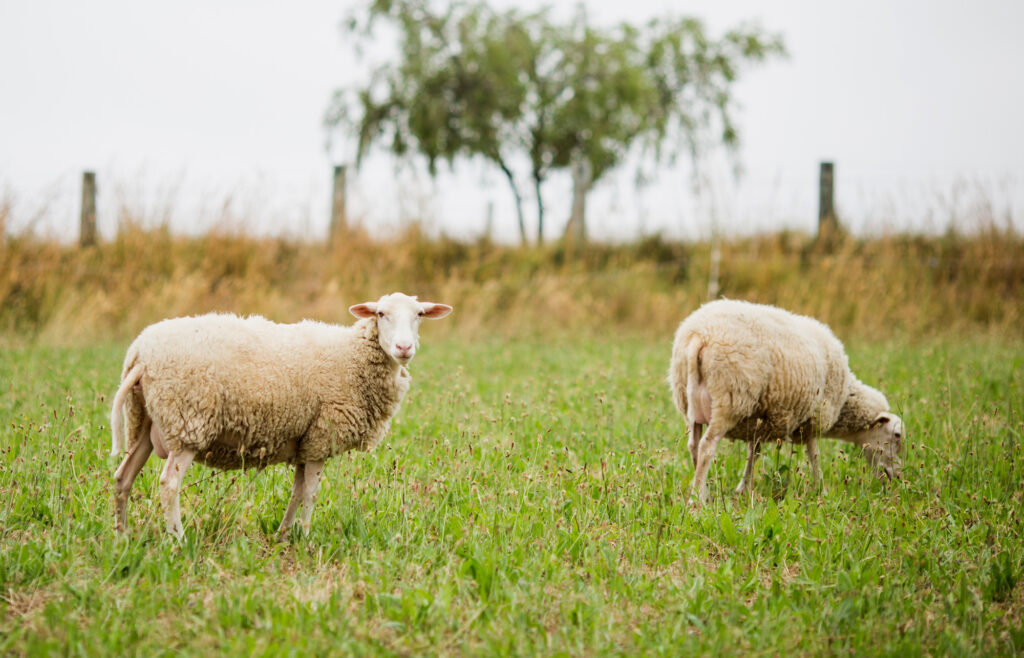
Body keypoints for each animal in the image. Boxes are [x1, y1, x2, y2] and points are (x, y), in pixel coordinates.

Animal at [107, 292, 452, 540]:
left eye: (419, 315)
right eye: (381, 314)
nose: (404, 347)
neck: (352, 356)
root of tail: (140, 353)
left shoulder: (306, 441)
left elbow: (297, 492)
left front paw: (284, 535)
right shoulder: (321, 437)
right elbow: (311, 493)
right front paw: (307, 537)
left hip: (144, 420)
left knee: (123, 477)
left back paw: (122, 536)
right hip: (188, 422)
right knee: (169, 484)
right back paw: (177, 539)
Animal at [667, 300, 901, 505]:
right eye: (897, 436)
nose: (897, 478)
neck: (845, 401)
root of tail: (699, 336)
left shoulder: (758, 420)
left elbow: (753, 454)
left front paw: (743, 488)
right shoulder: (814, 417)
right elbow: (814, 455)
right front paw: (821, 489)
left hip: (690, 402)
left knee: (693, 445)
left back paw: (703, 492)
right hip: (729, 399)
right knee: (706, 447)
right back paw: (697, 500)